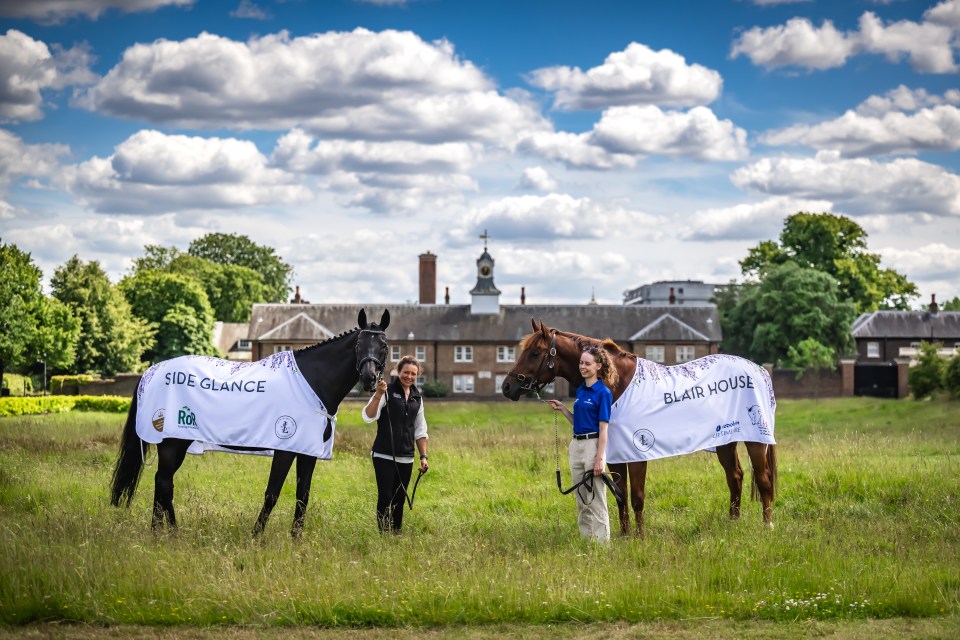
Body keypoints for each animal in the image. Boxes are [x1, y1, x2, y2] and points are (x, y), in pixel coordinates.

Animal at [113, 308, 394, 536]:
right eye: (359, 344)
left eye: (384, 345)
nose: (369, 379)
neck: (313, 382)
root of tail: (150, 371)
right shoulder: (285, 448)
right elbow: (272, 493)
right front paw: (256, 536)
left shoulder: (307, 452)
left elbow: (302, 495)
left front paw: (296, 539)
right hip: (172, 443)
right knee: (164, 482)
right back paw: (167, 532)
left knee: (163, 483)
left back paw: (164, 531)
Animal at [502, 320, 780, 536]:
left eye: (535, 353)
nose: (507, 387)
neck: (617, 382)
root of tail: (759, 370)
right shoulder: (614, 456)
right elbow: (621, 495)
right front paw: (625, 536)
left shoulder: (637, 452)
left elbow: (636, 496)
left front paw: (640, 537)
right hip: (725, 440)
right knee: (735, 477)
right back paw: (733, 522)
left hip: (756, 440)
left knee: (763, 479)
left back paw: (767, 525)